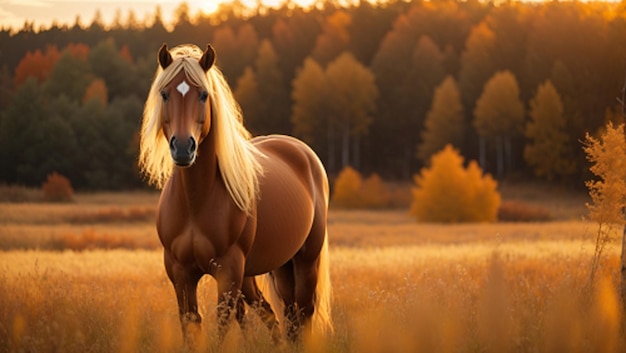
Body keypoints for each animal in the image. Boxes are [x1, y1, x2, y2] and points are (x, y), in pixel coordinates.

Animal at [137, 42, 332, 346]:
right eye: (165, 94)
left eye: (204, 94)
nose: (183, 148)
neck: (196, 202)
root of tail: (302, 152)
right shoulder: (180, 273)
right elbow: (192, 324)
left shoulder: (228, 272)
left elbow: (222, 326)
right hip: (275, 267)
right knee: (279, 315)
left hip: (304, 260)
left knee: (302, 312)